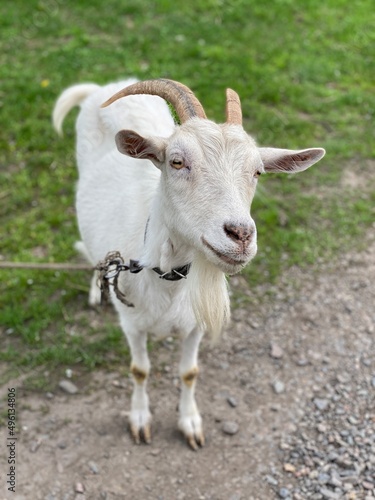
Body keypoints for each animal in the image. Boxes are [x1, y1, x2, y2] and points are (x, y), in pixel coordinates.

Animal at [53, 79, 326, 450]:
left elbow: (189, 372)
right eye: (177, 161)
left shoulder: (195, 326)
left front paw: (190, 423)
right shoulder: (131, 324)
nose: (240, 234)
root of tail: (103, 87)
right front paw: (140, 420)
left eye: (257, 171)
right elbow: (139, 370)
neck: (162, 271)